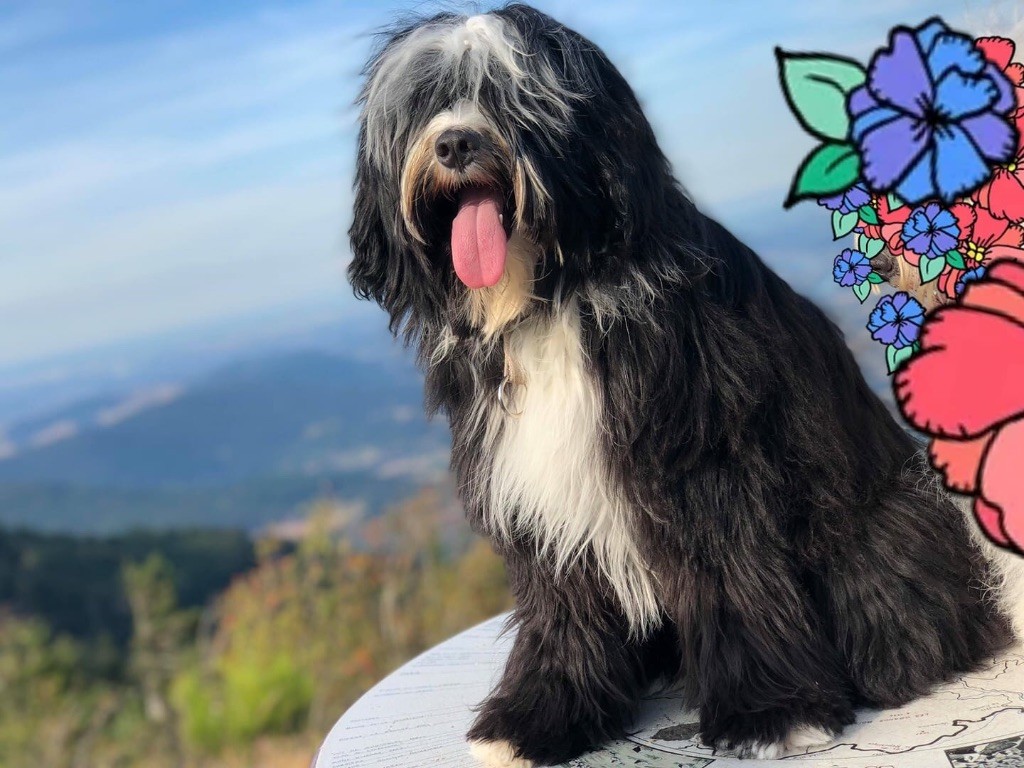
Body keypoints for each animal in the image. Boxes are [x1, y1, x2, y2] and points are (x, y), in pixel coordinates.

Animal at [347, 5, 1024, 764]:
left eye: (511, 93)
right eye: (426, 101)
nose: (456, 142)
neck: (553, 299)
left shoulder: (706, 464)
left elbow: (734, 578)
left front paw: (771, 712)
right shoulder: (536, 485)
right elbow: (563, 604)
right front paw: (537, 719)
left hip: (885, 525)